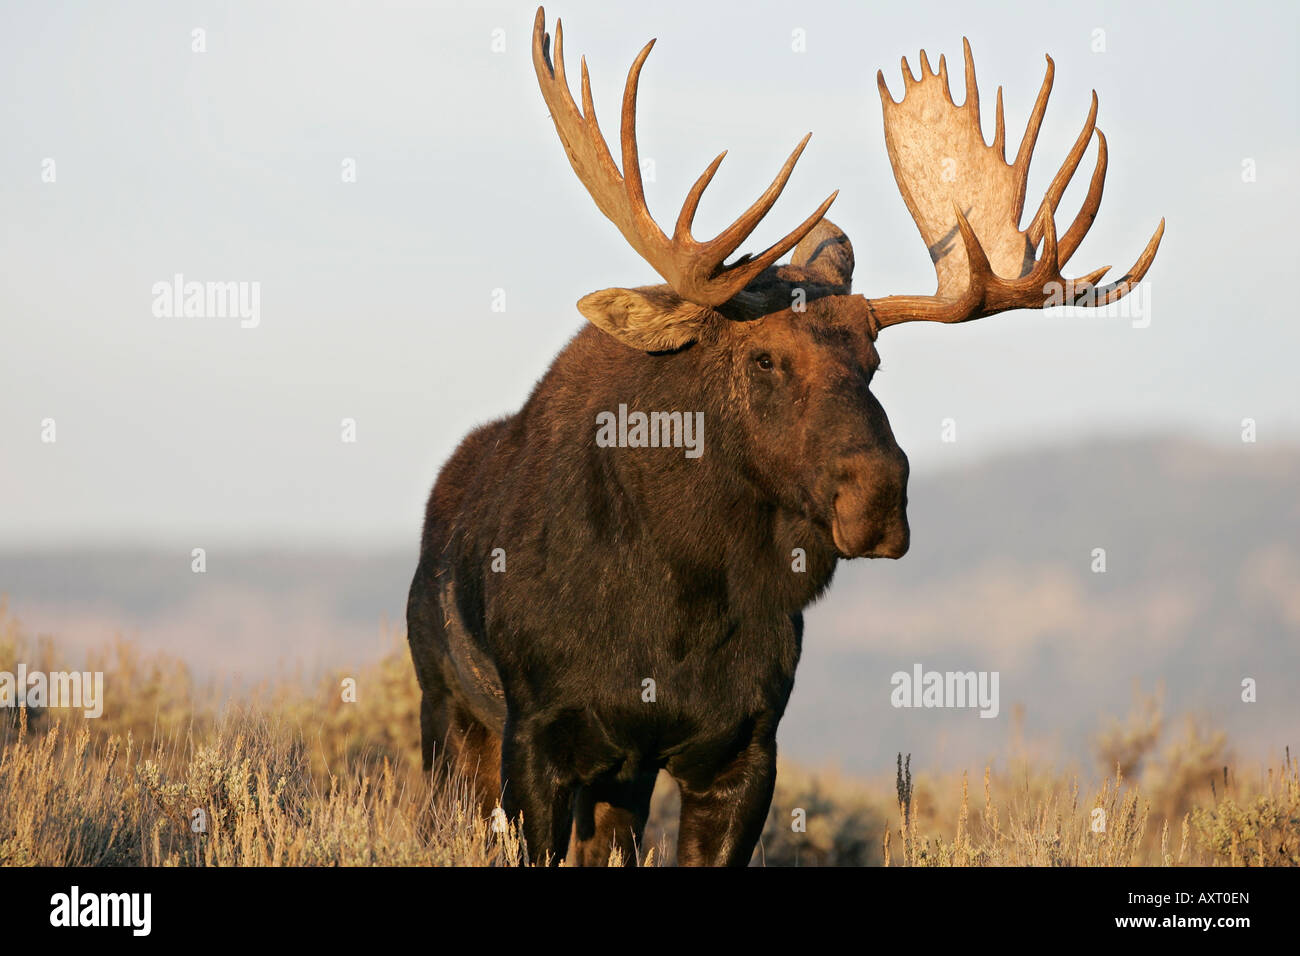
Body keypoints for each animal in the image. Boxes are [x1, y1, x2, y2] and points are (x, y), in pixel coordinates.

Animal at [405, 5, 1159, 868]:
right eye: (764, 356)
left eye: (873, 359)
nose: (878, 497)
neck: (676, 603)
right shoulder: (538, 739)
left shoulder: (742, 746)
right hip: (446, 710)